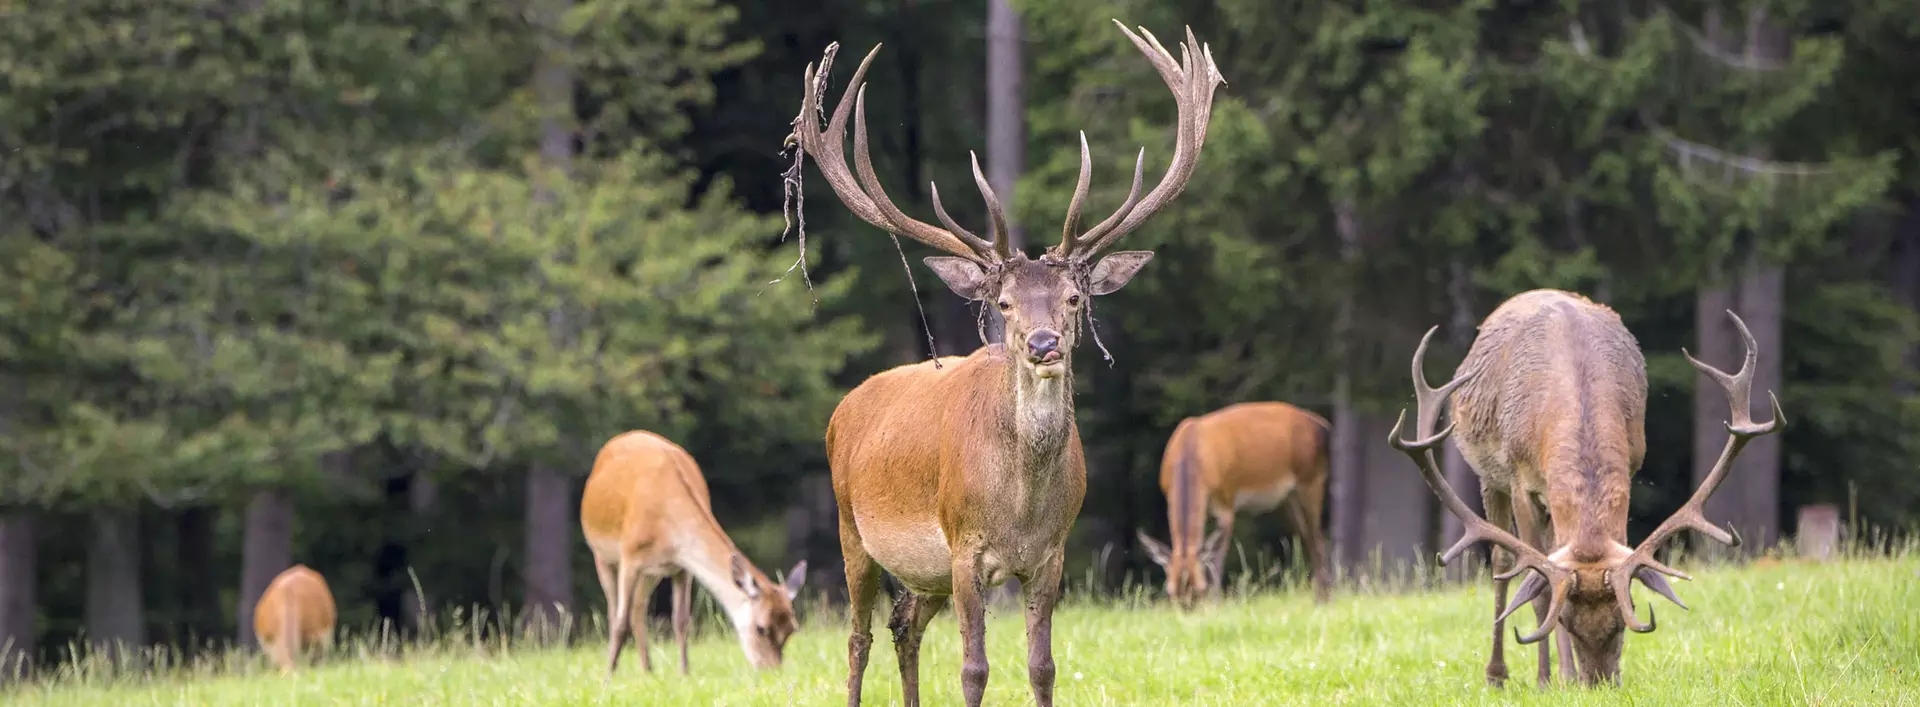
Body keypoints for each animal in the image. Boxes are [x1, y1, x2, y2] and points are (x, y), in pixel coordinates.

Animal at [572, 428, 806, 676]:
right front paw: (608, 677)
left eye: (792, 628)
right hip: (601, 554)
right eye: (761, 628)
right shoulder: (630, 556)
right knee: (616, 610)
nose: (771, 669)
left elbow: (681, 620)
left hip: (652, 573)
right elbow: (620, 622)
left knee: (638, 608)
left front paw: (684, 672)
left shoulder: (681, 566)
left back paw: (648, 670)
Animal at [787, 18, 1221, 707]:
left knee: (904, 627)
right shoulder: (964, 548)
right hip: (852, 528)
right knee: (858, 639)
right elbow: (974, 669)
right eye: (1005, 303)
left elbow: (1042, 665)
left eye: (1074, 297)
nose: (1043, 345)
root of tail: (842, 409)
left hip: (924, 573)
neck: (1019, 509)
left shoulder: (1050, 555)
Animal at [1128, 399, 1328, 603]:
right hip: (1290, 498)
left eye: (1201, 588)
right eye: (1170, 592)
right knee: (1309, 537)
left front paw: (1216, 601)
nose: (1188, 608)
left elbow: (1217, 560)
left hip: (1312, 480)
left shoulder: (1227, 500)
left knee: (1319, 540)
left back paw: (1323, 599)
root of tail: (1323, 424)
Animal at [1382, 288, 1781, 683]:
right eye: (1566, 620)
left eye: (1625, 616)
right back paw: (1499, 674)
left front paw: (1567, 675)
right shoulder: (1519, 479)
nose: (1600, 683)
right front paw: (1549, 679)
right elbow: (1537, 586)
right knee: (1502, 562)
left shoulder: (1632, 463)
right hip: (1488, 478)